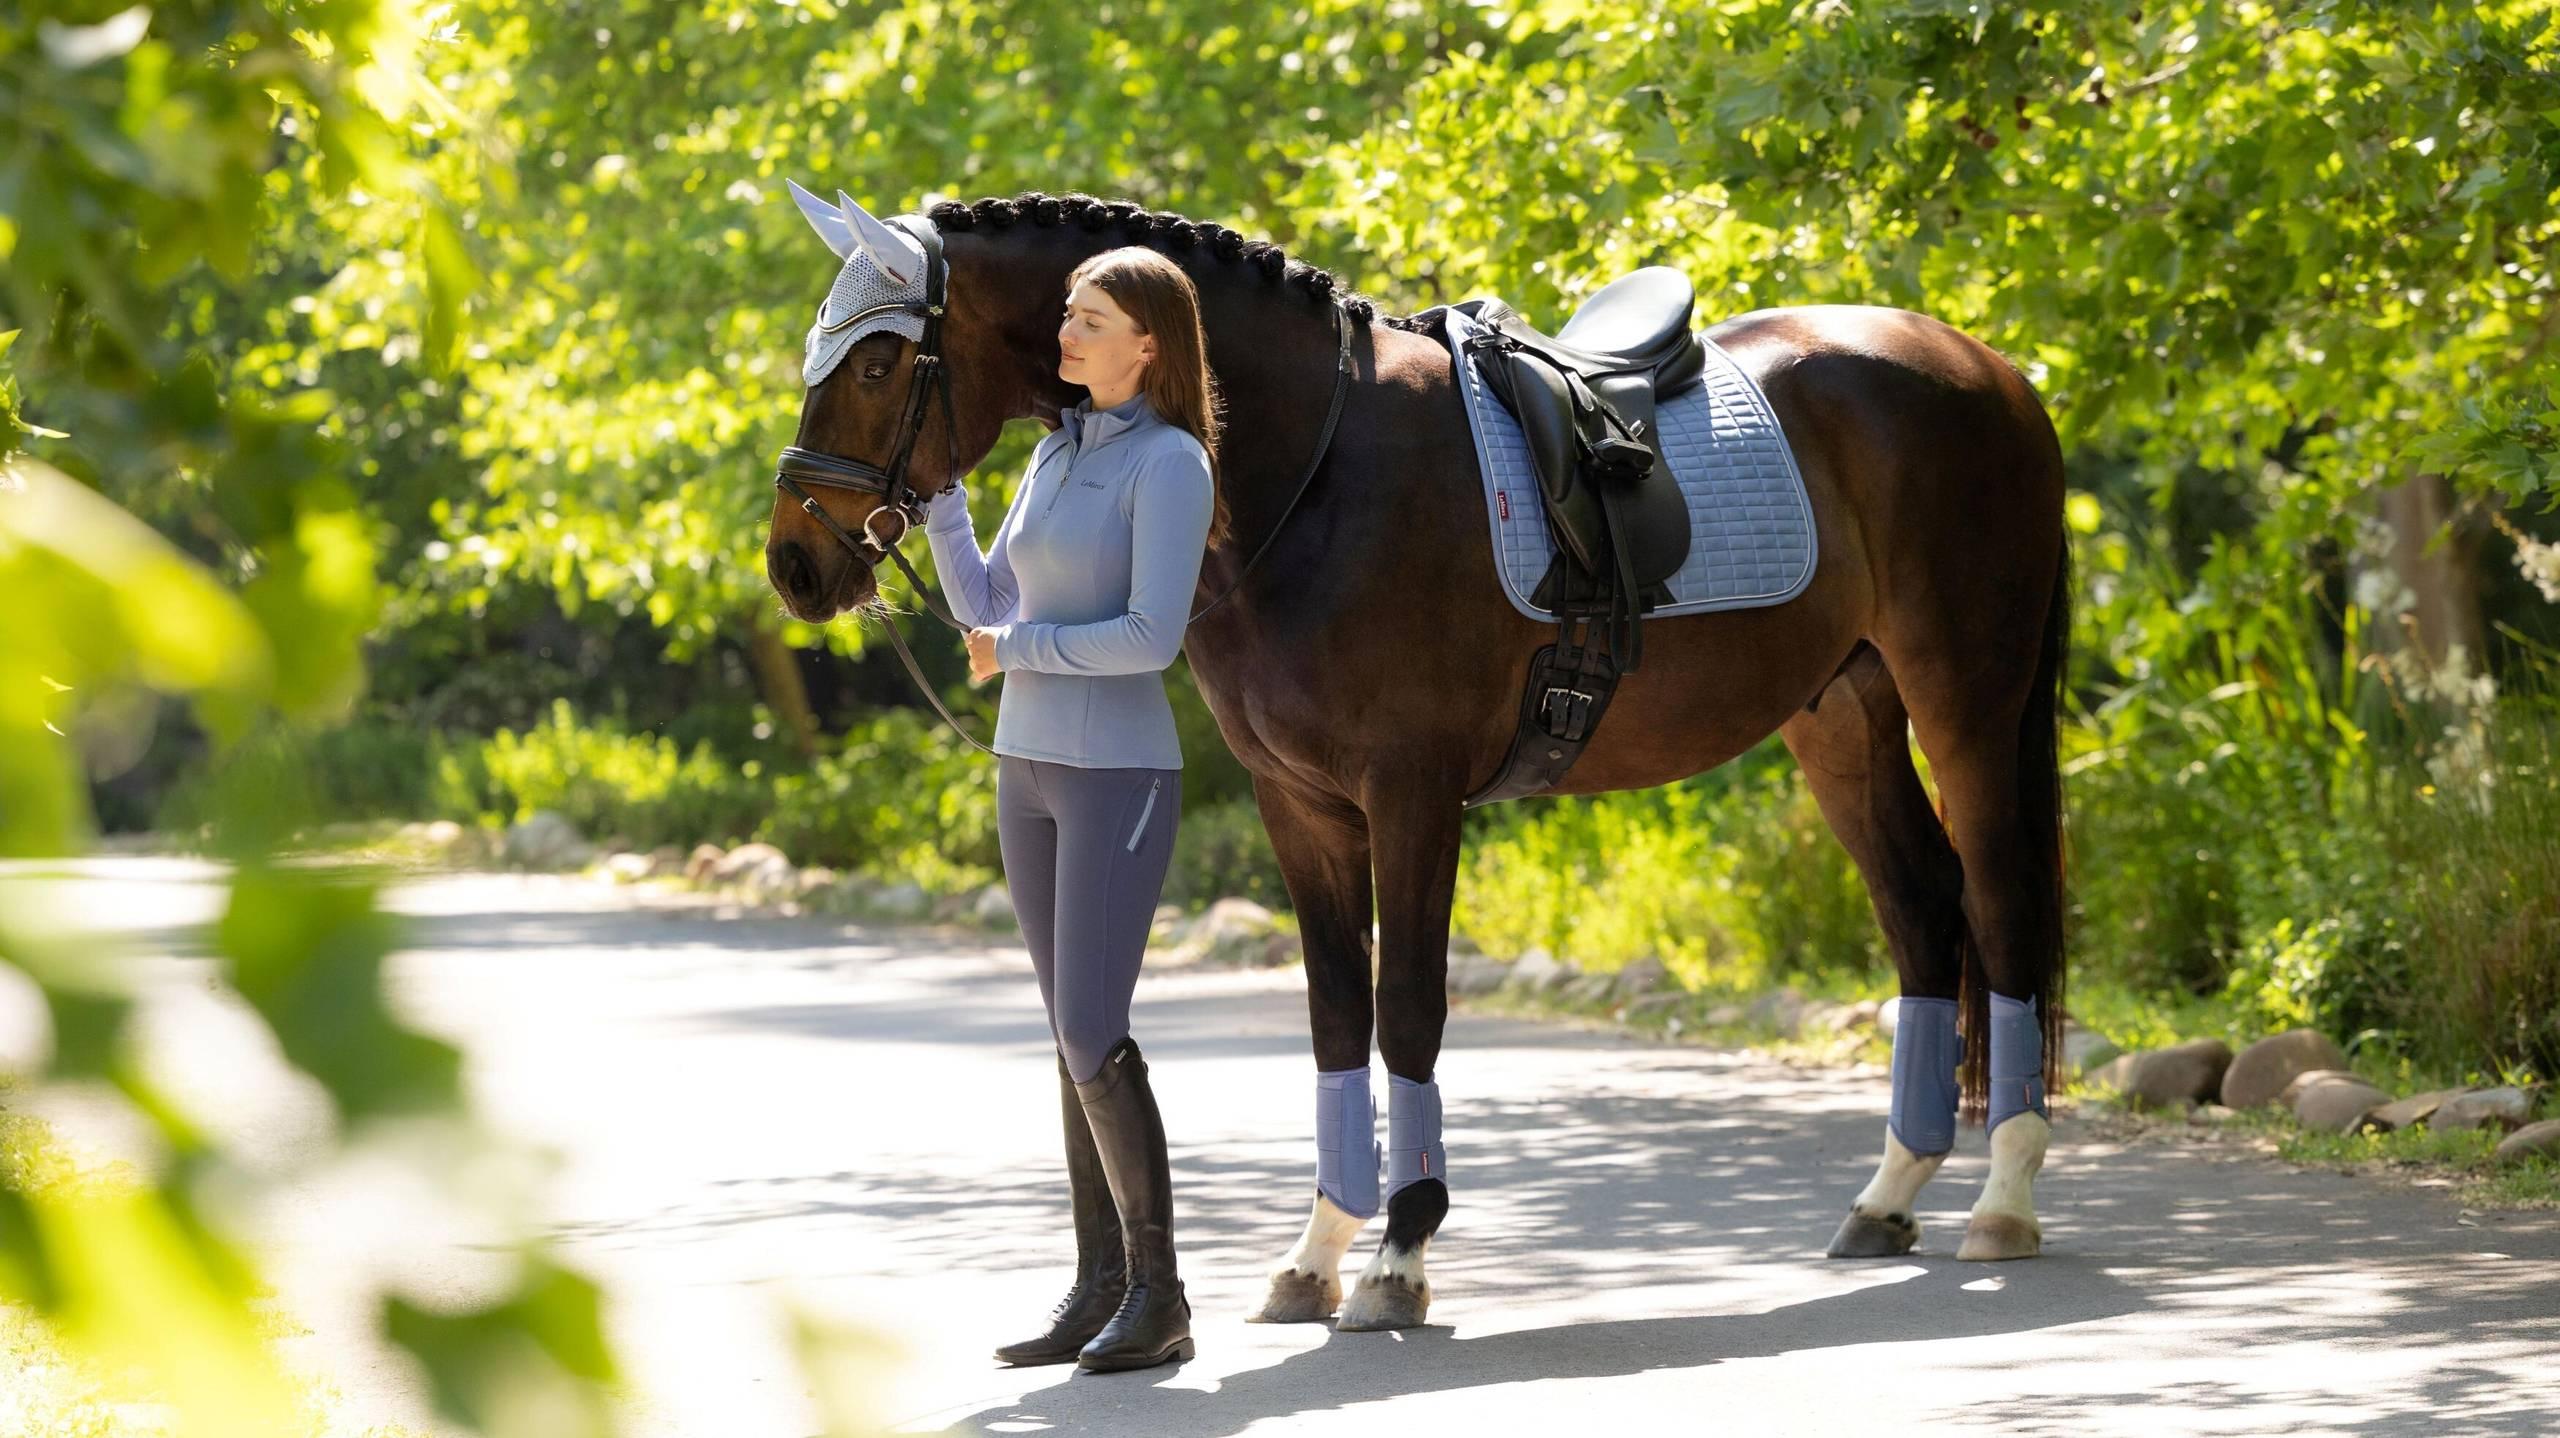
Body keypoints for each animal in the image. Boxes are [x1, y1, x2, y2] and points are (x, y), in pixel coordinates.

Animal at [763, 189, 2069, 1332]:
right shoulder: (1301, 805)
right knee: (1921, 910)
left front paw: (1398, 1256)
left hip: (1966, 699)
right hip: (1839, 714)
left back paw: (2003, 1200)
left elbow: (1407, 1011)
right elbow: (1337, 1013)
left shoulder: (1412, 795)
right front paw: (1316, 1256)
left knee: (2001, 905)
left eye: (875, 365)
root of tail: (1991, 371)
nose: (793, 564)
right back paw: (1888, 1198)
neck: (1311, 466)